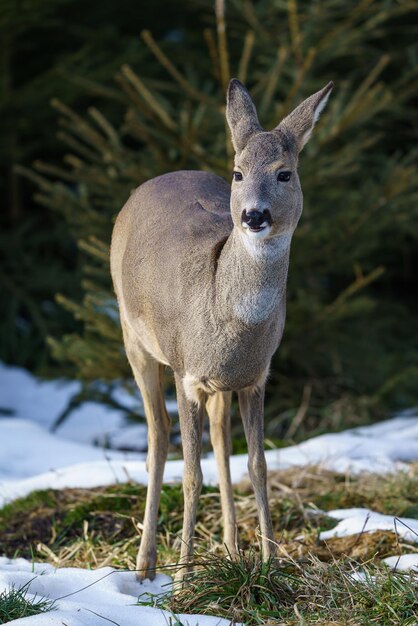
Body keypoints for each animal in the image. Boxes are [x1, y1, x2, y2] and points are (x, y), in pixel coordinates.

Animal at [111, 78, 334, 580]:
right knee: (157, 437)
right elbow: (191, 475)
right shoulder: (187, 371)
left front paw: (270, 565)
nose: (253, 215)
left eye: (284, 173)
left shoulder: (255, 376)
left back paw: (231, 550)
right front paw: (183, 579)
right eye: (237, 173)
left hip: (219, 385)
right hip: (134, 337)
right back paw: (146, 564)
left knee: (217, 437)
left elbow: (258, 464)